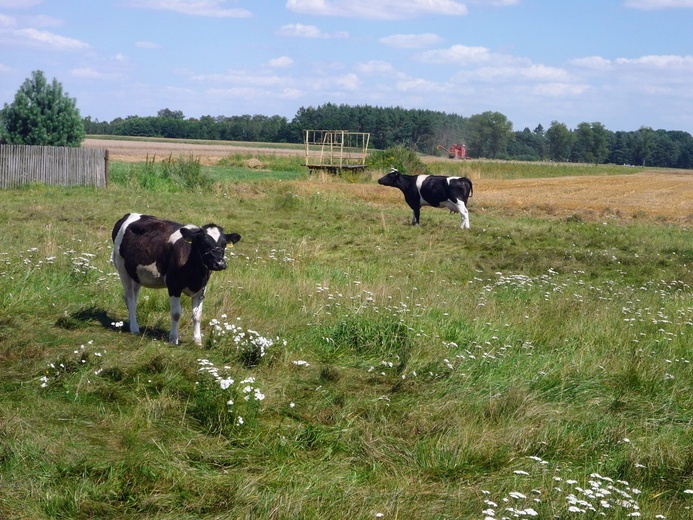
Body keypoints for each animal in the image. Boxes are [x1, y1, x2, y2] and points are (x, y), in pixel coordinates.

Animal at [112, 211, 242, 346]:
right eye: (204, 243)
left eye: (224, 245)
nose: (219, 264)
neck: (195, 273)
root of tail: (129, 215)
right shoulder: (173, 285)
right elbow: (176, 314)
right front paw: (173, 338)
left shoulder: (201, 288)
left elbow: (197, 315)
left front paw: (197, 340)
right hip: (122, 269)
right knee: (130, 298)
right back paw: (134, 328)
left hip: (136, 274)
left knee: (133, 297)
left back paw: (131, 322)